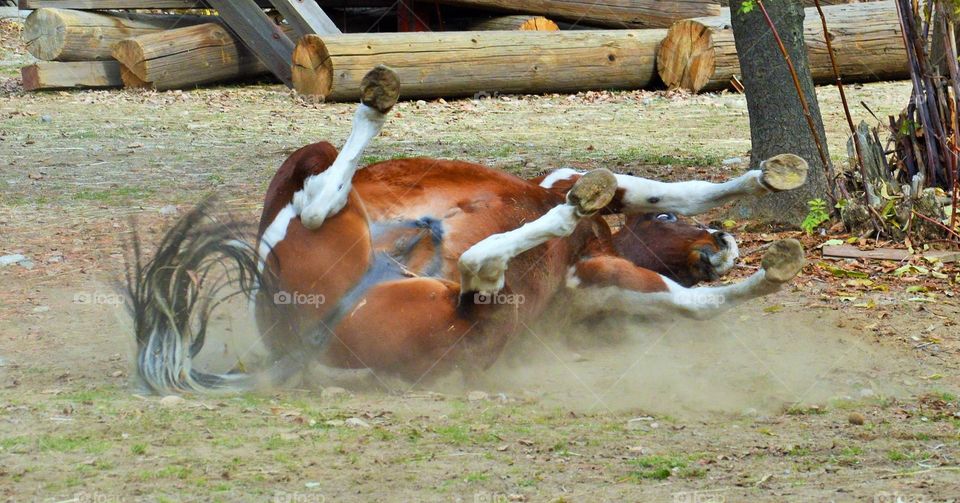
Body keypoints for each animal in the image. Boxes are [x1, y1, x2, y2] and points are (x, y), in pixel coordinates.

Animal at [128, 66, 807, 394]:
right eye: (667, 225)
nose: (723, 241)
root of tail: (299, 339)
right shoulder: (572, 196)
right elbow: (654, 191)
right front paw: (768, 180)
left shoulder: (594, 277)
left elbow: (692, 303)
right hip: (319, 190)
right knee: (328, 197)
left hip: (465, 321)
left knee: (478, 269)